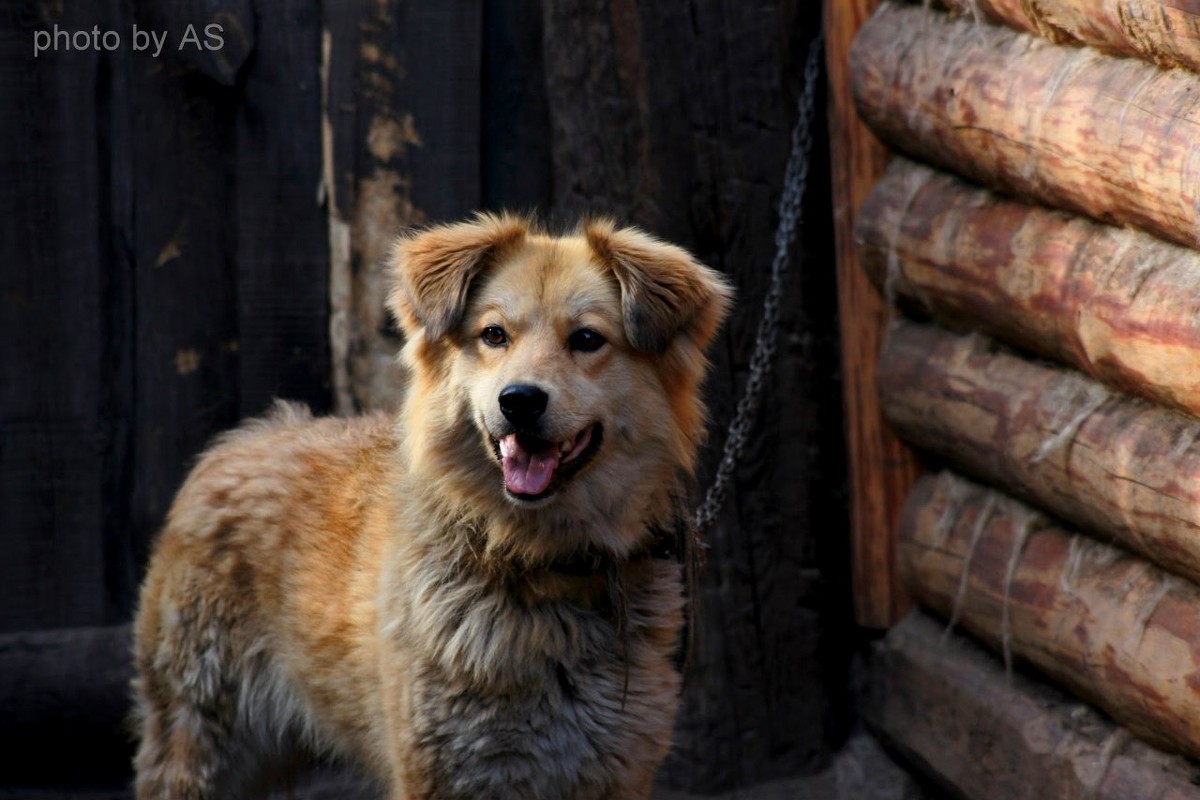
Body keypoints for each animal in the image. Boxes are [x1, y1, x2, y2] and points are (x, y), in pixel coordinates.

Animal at [131, 212, 729, 800]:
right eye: (494, 335)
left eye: (587, 339)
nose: (519, 400)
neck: (538, 566)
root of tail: (236, 444)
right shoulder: (443, 771)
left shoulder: (616, 772)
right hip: (201, 738)